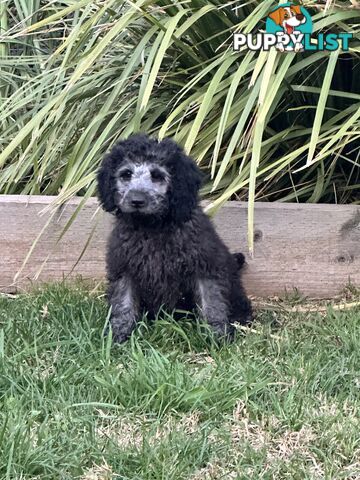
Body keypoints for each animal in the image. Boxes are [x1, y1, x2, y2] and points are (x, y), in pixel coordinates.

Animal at [97, 135, 252, 344]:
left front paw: (217, 336)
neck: (152, 226)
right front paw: (118, 336)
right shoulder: (124, 268)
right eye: (126, 174)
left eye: (157, 176)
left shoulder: (205, 267)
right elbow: (123, 303)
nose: (137, 200)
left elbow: (212, 303)